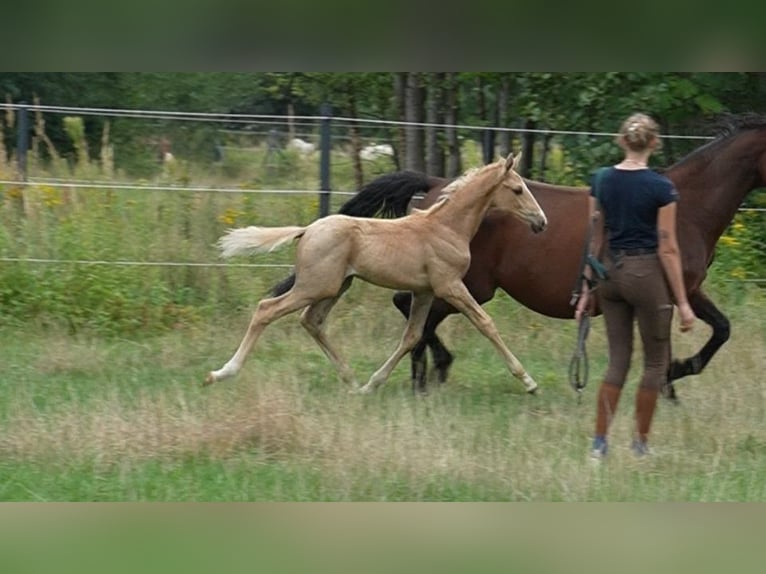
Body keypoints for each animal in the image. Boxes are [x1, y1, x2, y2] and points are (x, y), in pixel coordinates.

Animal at [205, 153, 548, 394]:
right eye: (518, 189)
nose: (541, 222)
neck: (445, 228)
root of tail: (306, 230)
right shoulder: (449, 285)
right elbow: (486, 323)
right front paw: (529, 381)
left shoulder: (424, 291)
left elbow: (411, 336)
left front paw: (373, 383)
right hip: (314, 286)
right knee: (267, 309)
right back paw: (221, 373)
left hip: (336, 286)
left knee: (311, 321)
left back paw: (352, 381)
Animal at [271, 113, 766, 396]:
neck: (682, 207)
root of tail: (432, 187)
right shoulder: (669, 291)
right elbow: (696, 338)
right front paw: (673, 377)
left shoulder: (688, 290)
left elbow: (721, 329)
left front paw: (673, 378)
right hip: (470, 286)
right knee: (412, 310)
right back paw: (427, 374)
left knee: (415, 315)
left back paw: (425, 374)